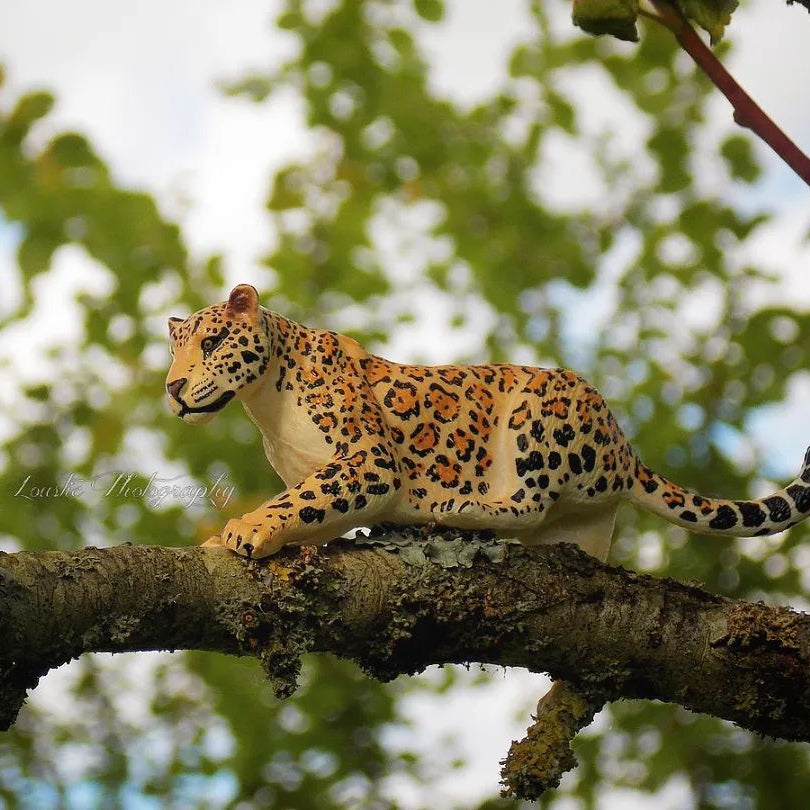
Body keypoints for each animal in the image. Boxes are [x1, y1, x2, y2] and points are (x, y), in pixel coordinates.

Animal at [165, 284, 810, 564]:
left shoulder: (369, 459)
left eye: (213, 342)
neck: (263, 405)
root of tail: (625, 452)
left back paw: (458, 509)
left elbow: (302, 497)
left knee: (528, 501)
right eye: (174, 351)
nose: (172, 388)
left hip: (538, 413)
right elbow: (314, 506)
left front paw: (245, 528)